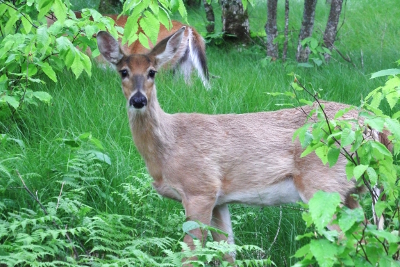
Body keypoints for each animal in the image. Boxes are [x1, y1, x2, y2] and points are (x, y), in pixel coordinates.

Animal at [95, 26, 390, 264]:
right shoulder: (220, 200)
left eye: (152, 72)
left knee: (362, 242)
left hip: (324, 187)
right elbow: (228, 253)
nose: (138, 100)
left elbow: (190, 255)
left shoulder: (199, 189)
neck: (169, 145)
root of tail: (371, 125)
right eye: (123, 72)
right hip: (351, 192)